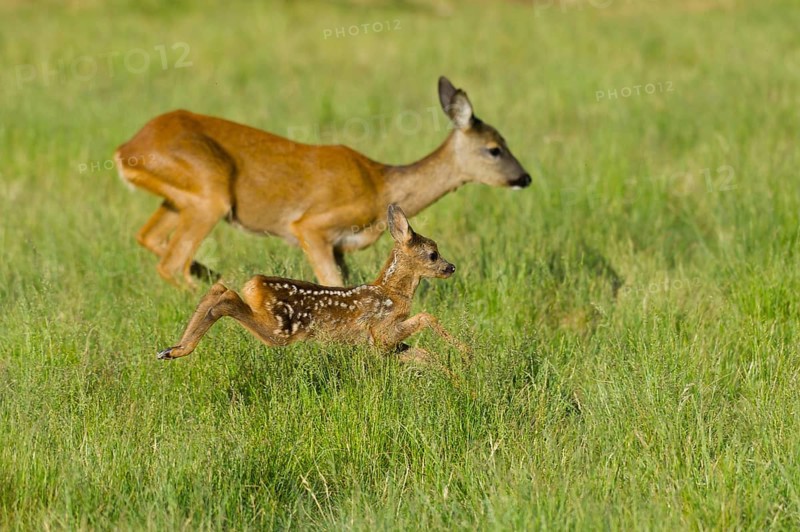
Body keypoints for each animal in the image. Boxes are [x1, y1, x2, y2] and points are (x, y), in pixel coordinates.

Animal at [115, 76, 530, 289]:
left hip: (180, 199)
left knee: (148, 238)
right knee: (172, 263)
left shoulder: (340, 247)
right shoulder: (311, 226)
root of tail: (127, 149)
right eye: (495, 148)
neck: (381, 186)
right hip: (211, 196)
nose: (524, 177)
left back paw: (216, 276)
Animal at [157, 205, 468, 368]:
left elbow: (425, 354)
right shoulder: (381, 331)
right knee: (225, 297)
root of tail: (254, 284)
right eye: (433, 254)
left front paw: (456, 378)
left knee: (219, 289)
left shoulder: (383, 345)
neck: (392, 292)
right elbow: (427, 317)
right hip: (280, 330)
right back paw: (178, 349)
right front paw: (467, 353)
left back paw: (171, 349)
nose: (451, 267)